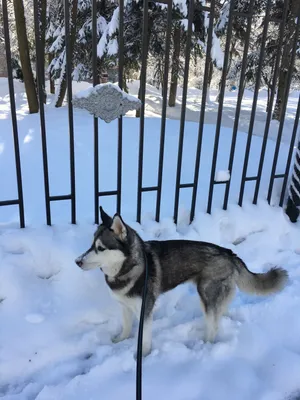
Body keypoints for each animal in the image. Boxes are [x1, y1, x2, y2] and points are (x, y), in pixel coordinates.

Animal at [75, 206, 288, 356]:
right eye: (91, 245)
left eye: (101, 248)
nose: (77, 261)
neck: (128, 268)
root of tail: (229, 253)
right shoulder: (125, 306)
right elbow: (127, 327)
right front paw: (121, 339)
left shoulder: (145, 311)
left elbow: (144, 339)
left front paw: (142, 357)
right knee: (219, 314)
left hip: (206, 294)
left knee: (213, 324)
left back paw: (205, 346)